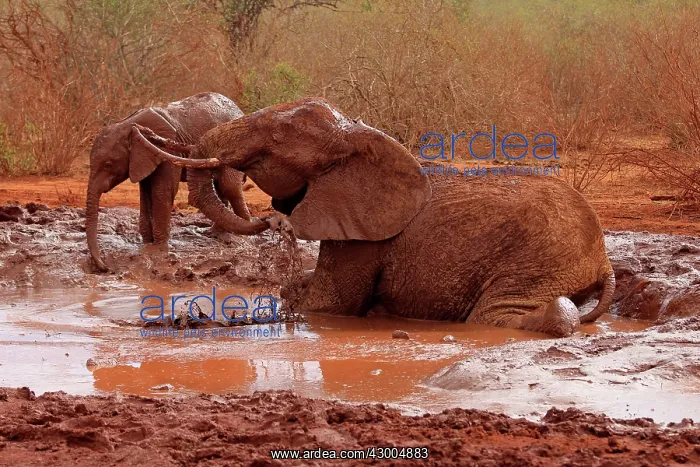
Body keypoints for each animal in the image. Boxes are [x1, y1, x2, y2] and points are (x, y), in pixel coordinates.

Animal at [86, 92, 268, 272]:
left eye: (108, 164)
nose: (105, 267)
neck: (126, 124)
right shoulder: (143, 158)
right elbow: (145, 194)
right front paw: (146, 246)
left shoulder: (165, 150)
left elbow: (162, 191)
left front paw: (158, 251)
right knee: (219, 187)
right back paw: (215, 234)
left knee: (229, 187)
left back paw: (240, 238)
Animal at [130, 98, 616, 337]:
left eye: (276, 138)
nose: (274, 223)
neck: (359, 136)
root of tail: (604, 260)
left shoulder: (362, 235)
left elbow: (330, 304)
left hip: (537, 260)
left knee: (496, 316)